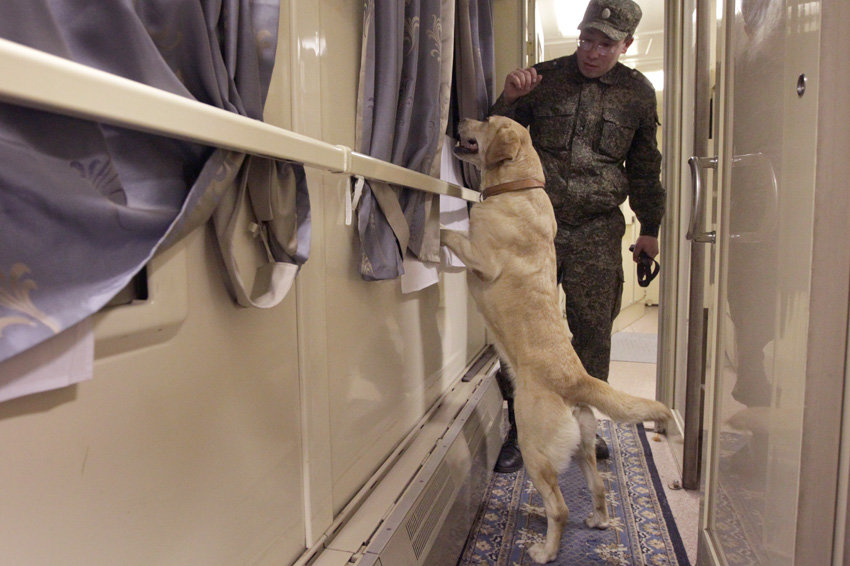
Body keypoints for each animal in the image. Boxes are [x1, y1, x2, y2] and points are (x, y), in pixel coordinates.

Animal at [440, 117, 672, 564]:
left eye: (486, 122)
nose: (459, 120)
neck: (518, 187)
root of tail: (577, 380)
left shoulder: (481, 257)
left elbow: (450, 234)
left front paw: (434, 231)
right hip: (582, 447)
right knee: (598, 487)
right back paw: (598, 521)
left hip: (535, 449)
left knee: (559, 508)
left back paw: (545, 550)